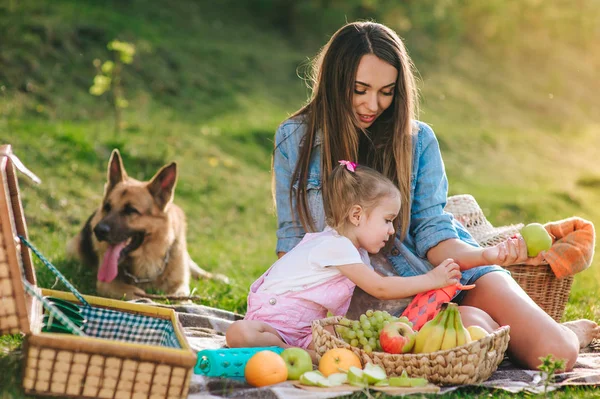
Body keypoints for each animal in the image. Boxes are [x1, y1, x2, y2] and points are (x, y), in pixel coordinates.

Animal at [66, 150, 225, 300]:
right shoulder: (107, 284)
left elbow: (184, 298)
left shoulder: (180, 286)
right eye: (107, 207)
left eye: (131, 210)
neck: (147, 257)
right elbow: (141, 294)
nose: (98, 231)